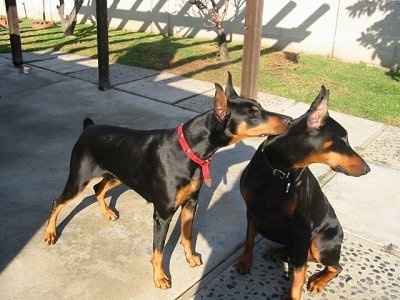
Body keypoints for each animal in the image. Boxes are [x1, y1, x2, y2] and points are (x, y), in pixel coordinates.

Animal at [45, 72, 292, 288]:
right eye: (253, 113)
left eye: (259, 106)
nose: (290, 120)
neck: (190, 150)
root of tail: (88, 127)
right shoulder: (162, 214)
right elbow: (158, 251)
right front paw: (160, 278)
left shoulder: (191, 202)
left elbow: (187, 235)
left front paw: (190, 258)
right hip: (79, 178)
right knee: (59, 200)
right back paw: (49, 233)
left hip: (118, 175)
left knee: (98, 188)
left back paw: (106, 212)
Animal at [236, 85, 370, 298]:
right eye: (343, 140)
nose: (367, 169)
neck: (279, 171)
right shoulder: (252, 211)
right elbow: (249, 239)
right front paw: (244, 262)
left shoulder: (302, 228)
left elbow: (299, 273)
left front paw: (292, 296)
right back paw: (279, 252)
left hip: (320, 242)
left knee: (335, 267)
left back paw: (318, 281)